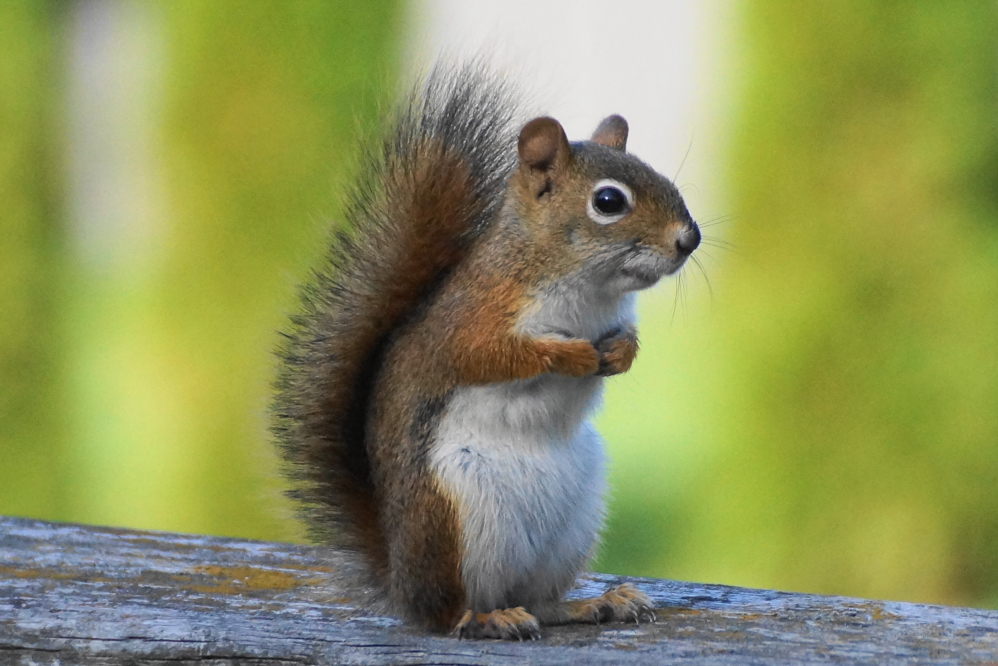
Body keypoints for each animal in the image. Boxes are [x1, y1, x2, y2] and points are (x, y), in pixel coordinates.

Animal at [272, 63, 701, 640]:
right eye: (609, 202)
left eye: (664, 179)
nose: (689, 239)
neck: (586, 287)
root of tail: (401, 583)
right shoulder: (474, 321)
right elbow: (491, 358)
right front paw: (573, 358)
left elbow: (625, 338)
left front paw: (619, 355)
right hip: (454, 515)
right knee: (449, 614)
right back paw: (487, 618)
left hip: (572, 526)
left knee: (538, 600)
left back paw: (593, 603)